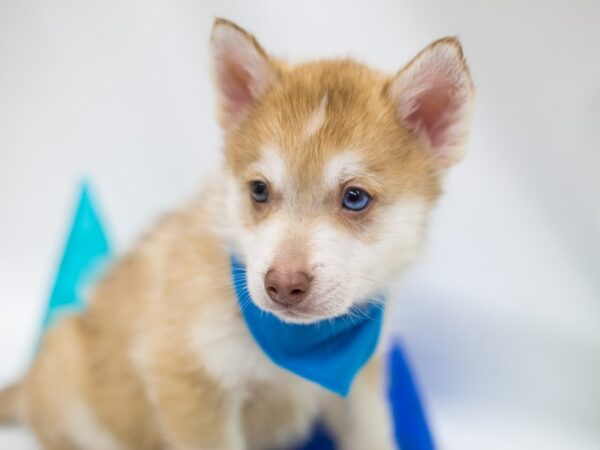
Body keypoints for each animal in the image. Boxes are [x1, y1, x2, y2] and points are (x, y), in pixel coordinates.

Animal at [0, 17, 474, 450]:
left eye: (355, 198)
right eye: (259, 190)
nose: (283, 284)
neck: (299, 348)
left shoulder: (361, 387)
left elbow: (373, 435)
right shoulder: (189, 383)